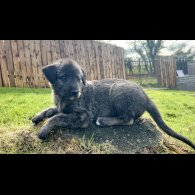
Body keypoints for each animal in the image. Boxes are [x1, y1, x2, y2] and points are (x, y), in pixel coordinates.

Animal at [32, 58, 195, 149]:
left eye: (79, 78)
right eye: (64, 77)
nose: (75, 92)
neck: (63, 98)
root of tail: (145, 94)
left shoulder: (83, 116)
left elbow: (58, 117)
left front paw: (44, 129)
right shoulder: (62, 106)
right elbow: (53, 110)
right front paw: (38, 116)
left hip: (117, 92)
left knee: (128, 119)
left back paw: (104, 120)